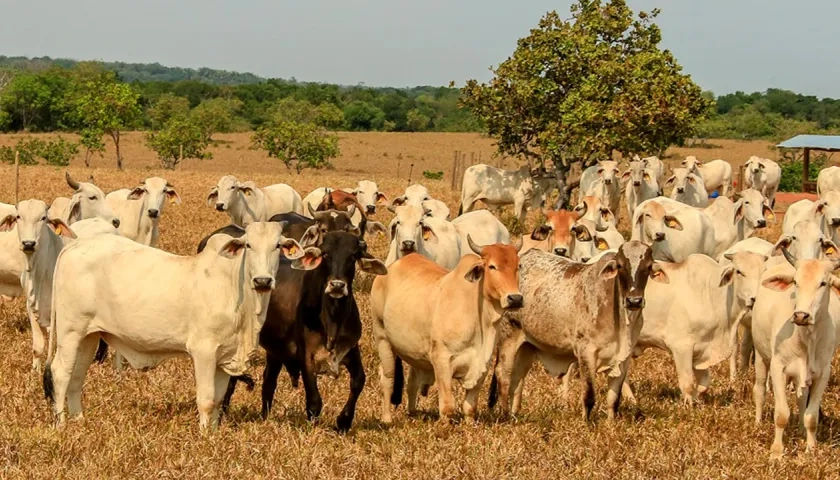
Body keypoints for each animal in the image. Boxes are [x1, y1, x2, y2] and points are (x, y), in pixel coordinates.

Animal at [0, 199, 75, 372]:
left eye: (43, 218)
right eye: (18, 217)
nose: (28, 244)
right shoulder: (31, 305)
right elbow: (38, 345)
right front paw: (35, 371)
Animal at [42, 219, 308, 430]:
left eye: (277, 246)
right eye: (248, 245)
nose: (263, 281)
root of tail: (74, 246)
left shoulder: (224, 356)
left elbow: (219, 399)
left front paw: (213, 433)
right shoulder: (204, 351)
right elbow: (207, 399)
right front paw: (204, 436)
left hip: (89, 335)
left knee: (77, 376)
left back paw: (79, 420)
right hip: (70, 332)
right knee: (61, 372)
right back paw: (62, 423)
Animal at [752, 255, 836, 458]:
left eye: (823, 283)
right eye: (796, 282)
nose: (801, 315)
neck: (806, 338)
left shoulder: (823, 373)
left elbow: (811, 415)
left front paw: (811, 447)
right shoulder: (778, 368)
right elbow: (781, 414)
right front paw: (776, 451)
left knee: (801, 398)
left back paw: (800, 430)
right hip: (760, 356)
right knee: (759, 389)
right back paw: (758, 423)